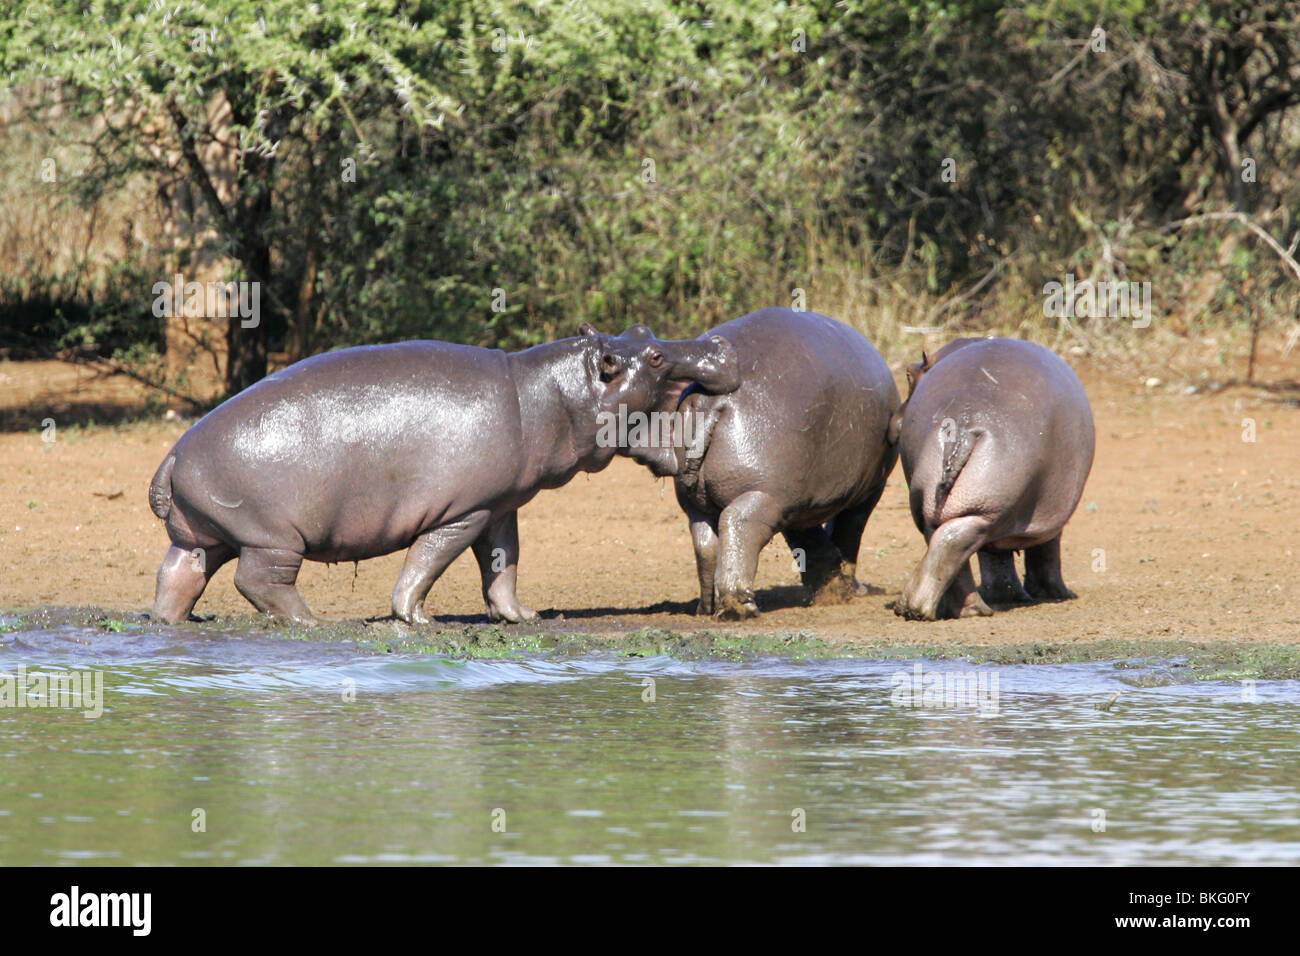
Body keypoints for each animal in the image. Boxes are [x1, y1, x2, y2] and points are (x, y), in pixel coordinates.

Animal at [146, 327, 738, 629]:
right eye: (656, 355)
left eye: (644, 333)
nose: (716, 349)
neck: (546, 394)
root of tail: (172, 455)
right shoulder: (464, 510)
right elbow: (427, 562)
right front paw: (416, 619)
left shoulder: (502, 505)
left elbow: (503, 563)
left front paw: (523, 616)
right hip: (269, 538)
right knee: (259, 581)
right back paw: (314, 623)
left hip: (201, 536)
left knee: (179, 575)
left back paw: (170, 624)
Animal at [624, 306, 899, 621]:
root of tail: (708, 401)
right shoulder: (866, 490)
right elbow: (847, 533)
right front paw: (847, 588)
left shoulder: (799, 496)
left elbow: (811, 540)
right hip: (766, 492)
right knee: (740, 523)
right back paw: (740, 607)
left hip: (704, 500)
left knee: (705, 539)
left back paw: (707, 607)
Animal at [889, 335, 1092, 621]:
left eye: (908, 374)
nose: (892, 425)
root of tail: (964, 425)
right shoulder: (1049, 510)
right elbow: (1045, 550)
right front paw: (1055, 593)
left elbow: (995, 555)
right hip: (992, 505)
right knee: (957, 542)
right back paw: (951, 609)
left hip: (951, 503)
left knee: (944, 540)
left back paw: (918, 607)